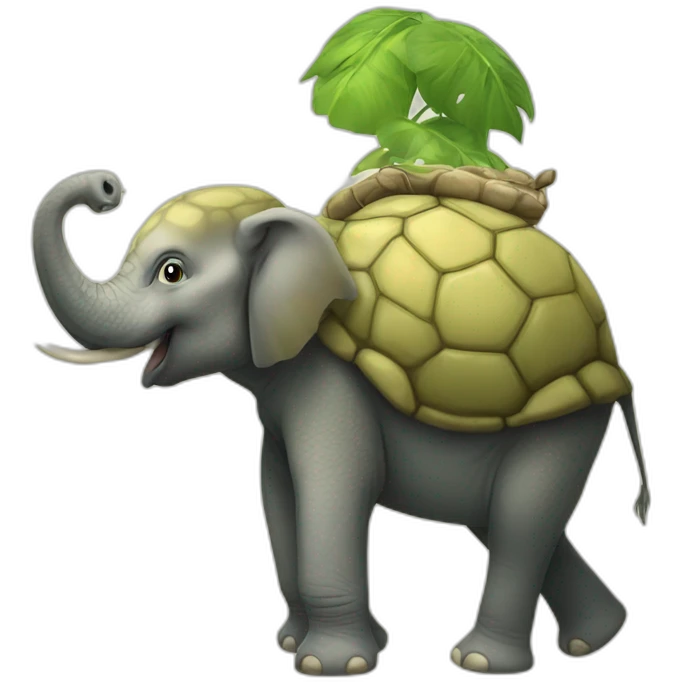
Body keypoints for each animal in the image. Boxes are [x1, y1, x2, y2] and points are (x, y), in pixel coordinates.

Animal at [31, 170, 651, 676]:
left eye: (171, 272)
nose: (107, 189)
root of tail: (605, 348)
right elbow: (278, 493)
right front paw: (301, 644)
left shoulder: (332, 386)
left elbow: (334, 489)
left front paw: (331, 666)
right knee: (499, 519)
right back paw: (595, 640)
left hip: (566, 411)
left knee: (521, 518)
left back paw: (480, 662)